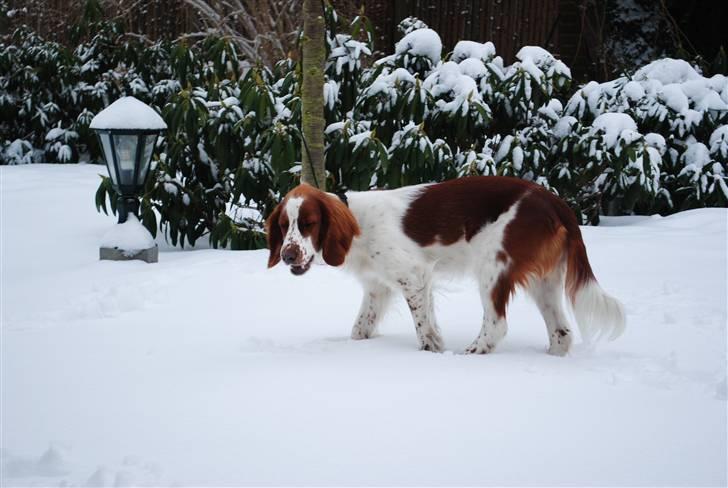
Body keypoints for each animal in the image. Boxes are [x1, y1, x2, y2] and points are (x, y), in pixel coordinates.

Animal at [268, 176, 624, 354]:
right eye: (284, 226)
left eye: (309, 224)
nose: (288, 255)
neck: (358, 226)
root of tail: (554, 201)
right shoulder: (377, 288)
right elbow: (360, 328)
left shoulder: (413, 276)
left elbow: (424, 329)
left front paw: (433, 352)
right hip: (545, 281)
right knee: (562, 333)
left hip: (493, 266)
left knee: (496, 325)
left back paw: (469, 355)